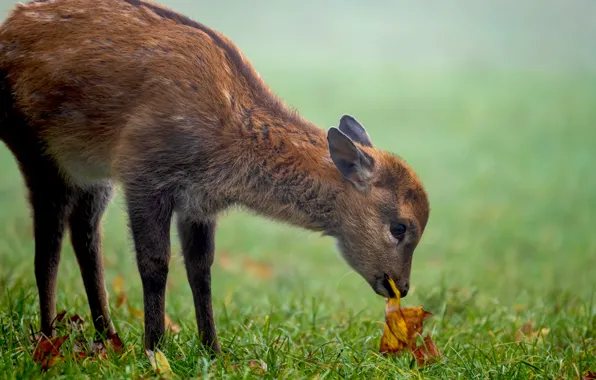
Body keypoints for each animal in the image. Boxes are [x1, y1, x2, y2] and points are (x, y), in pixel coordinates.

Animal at [0, 0, 430, 354]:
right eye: (400, 227)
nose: (401, 286)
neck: (225, 155)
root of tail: (8, 26)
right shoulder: (144, 172)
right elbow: (155, 262)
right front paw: (155, 350)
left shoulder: (199, 202)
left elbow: (201, 269)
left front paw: (213, 349)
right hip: (37, 149)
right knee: (48, 244)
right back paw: (49, 338)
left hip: (92, 171)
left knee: (86, 237)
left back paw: (107, 337)